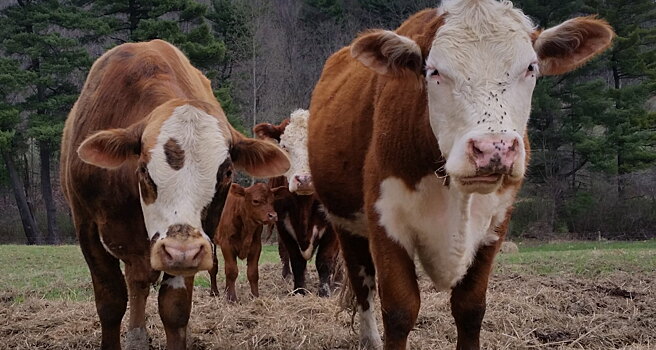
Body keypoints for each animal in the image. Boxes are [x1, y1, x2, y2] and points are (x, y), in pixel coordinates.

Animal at [59, 39, 290, 350]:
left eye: (227, 172)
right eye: (143, 169)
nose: (181, 250)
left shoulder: (198, 243)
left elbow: (175, 310)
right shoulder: (88, 230)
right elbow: (111, 303)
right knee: (136, 284)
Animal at [255, 109, 340, 296]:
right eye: (285, 147)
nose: (304, 179)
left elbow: (324, 260)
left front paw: (324, 293)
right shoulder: (283, 224)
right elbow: (297, 261)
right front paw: (300, 290)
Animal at [308, 1, 616, 348]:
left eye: (530, 68)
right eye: (434, 72)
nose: (494, 148)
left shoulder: (495, 225)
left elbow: (470, 307)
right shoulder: (386, 221)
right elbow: (400, 310)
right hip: (345, 224)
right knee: (363, 285)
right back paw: (370, 337)